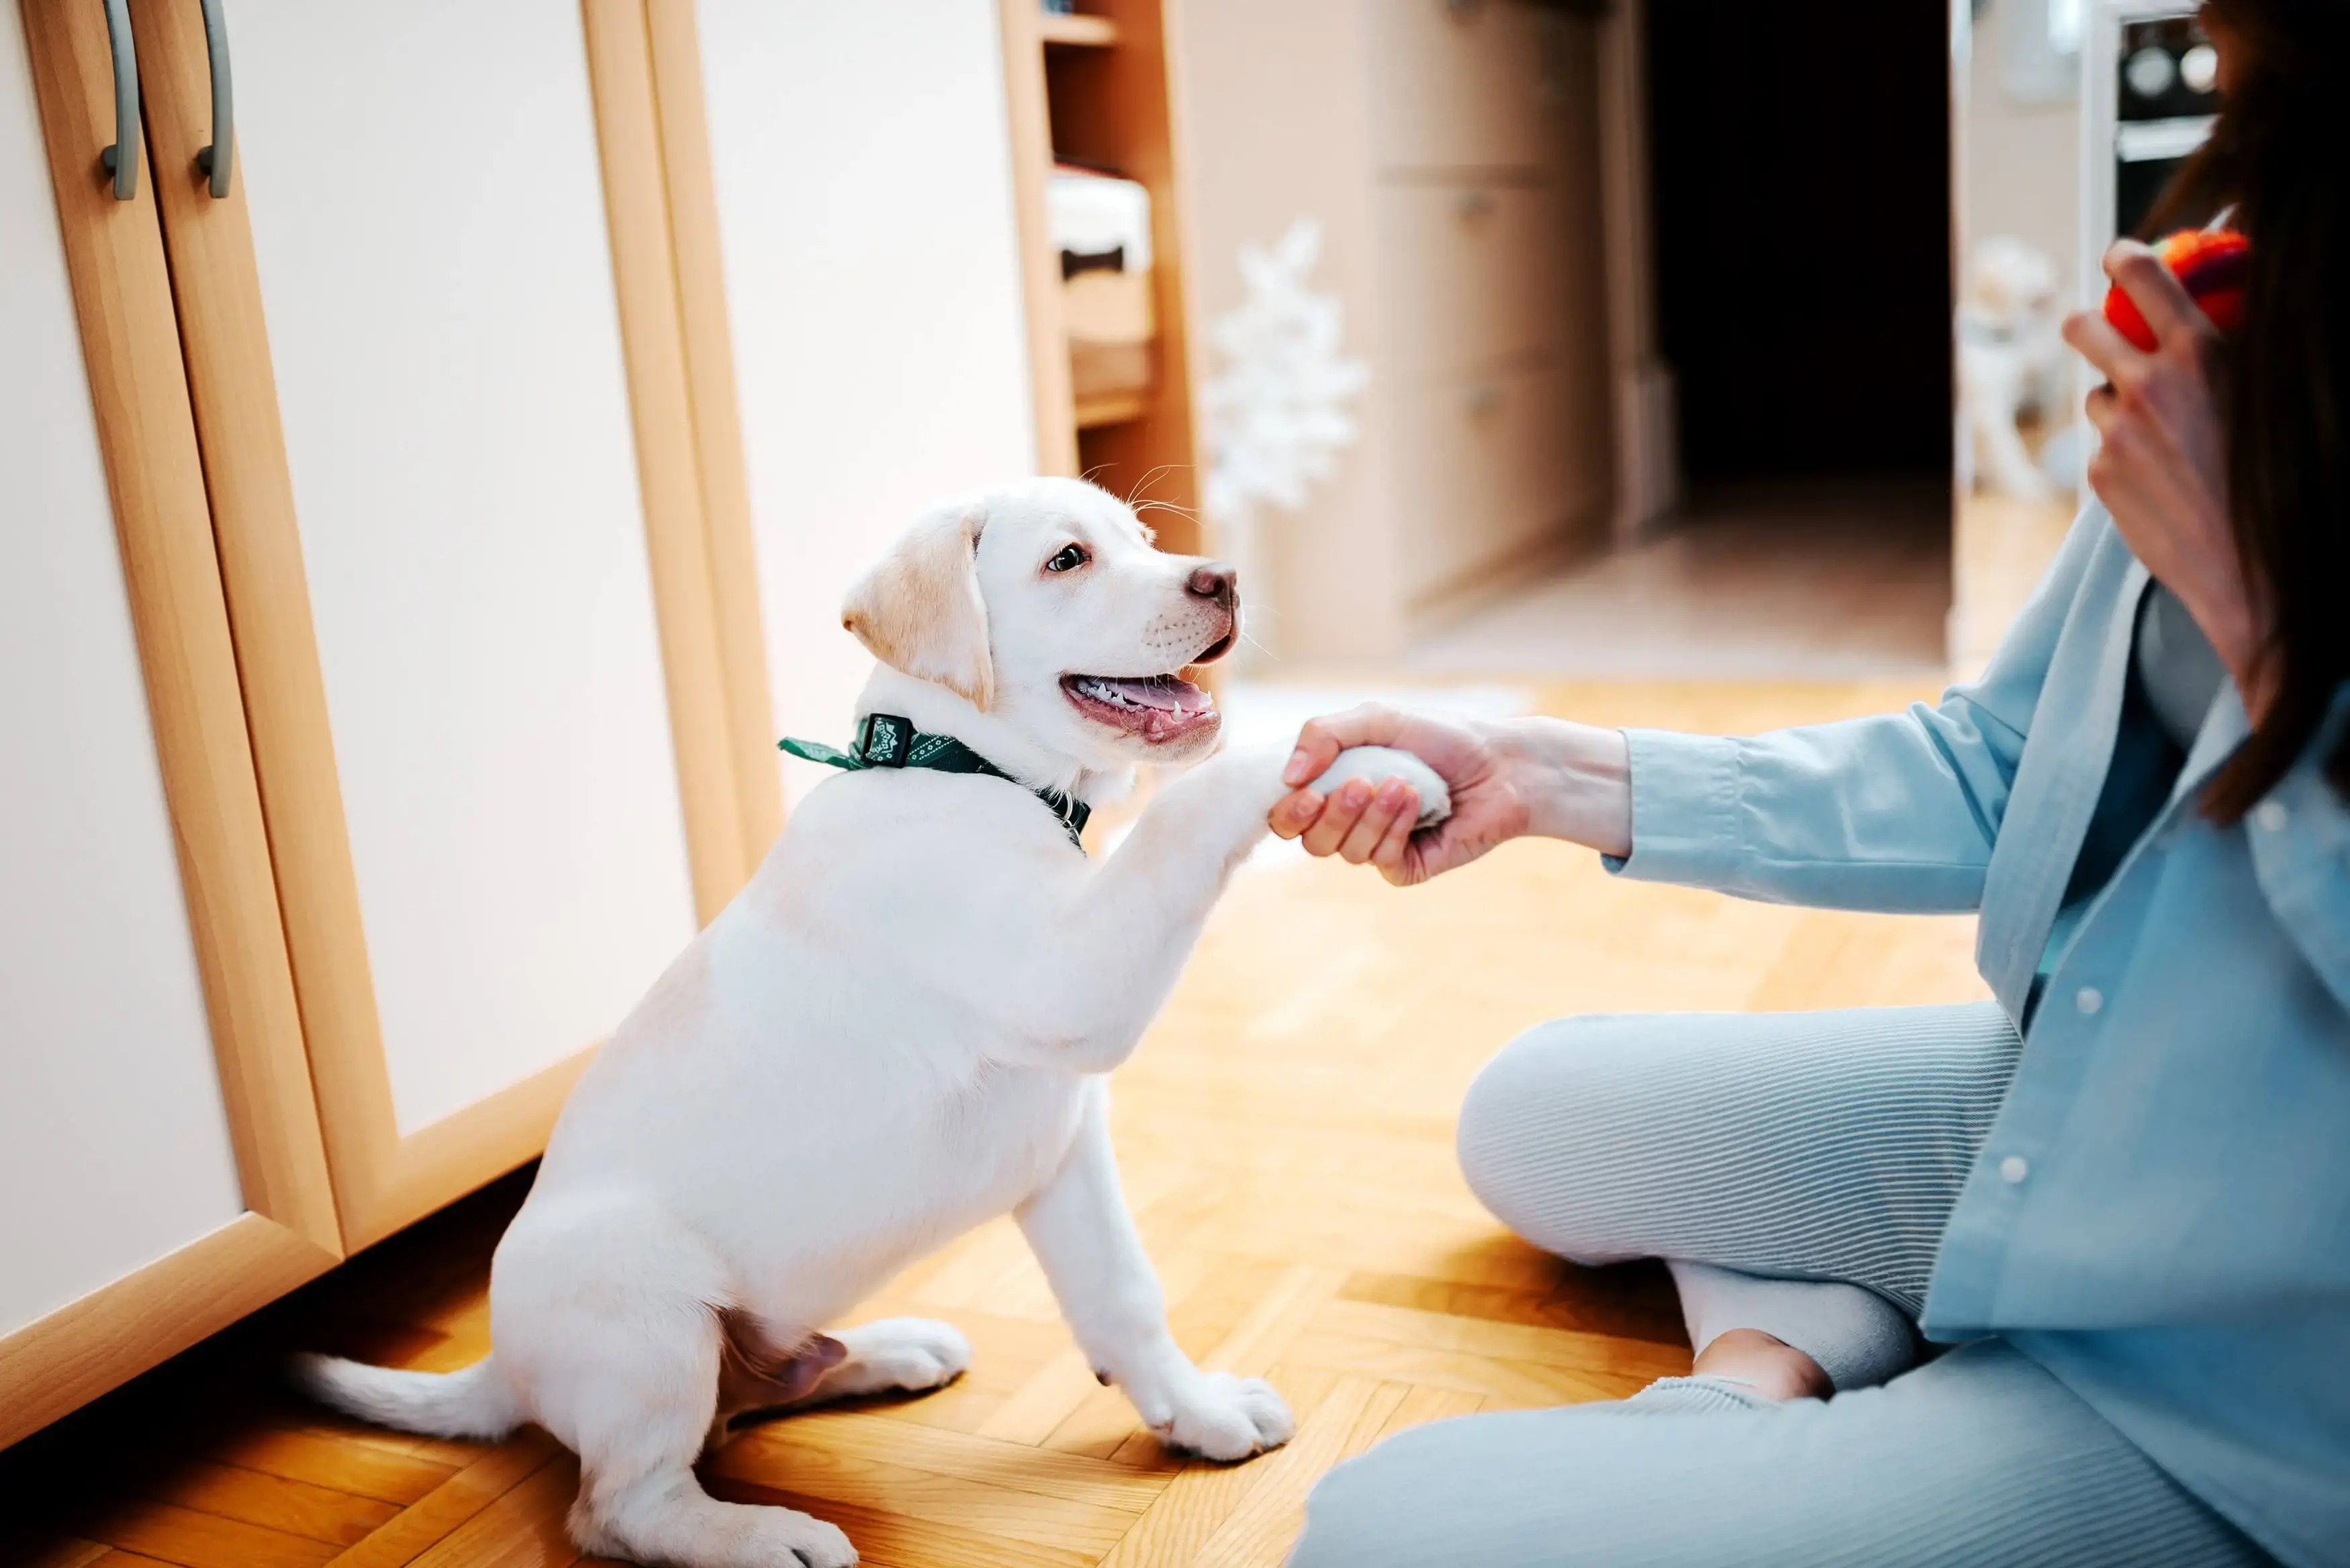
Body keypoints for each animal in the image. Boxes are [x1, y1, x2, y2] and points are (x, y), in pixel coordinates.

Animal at [298, 479, 1363, 1568]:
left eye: (1144, 538)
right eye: (1068, 560)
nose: (1222, 577)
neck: (962, 771)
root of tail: (504, 1368)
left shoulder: (1063, 1142)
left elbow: (1123, 1293)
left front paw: (1194, 1410)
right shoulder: (1072, 984)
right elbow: (1181, 813)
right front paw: (1304, 752)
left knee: (738, 1408)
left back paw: (887, 1351)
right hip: (647, 1313)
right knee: (622, 1504)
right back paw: (765, 1536)